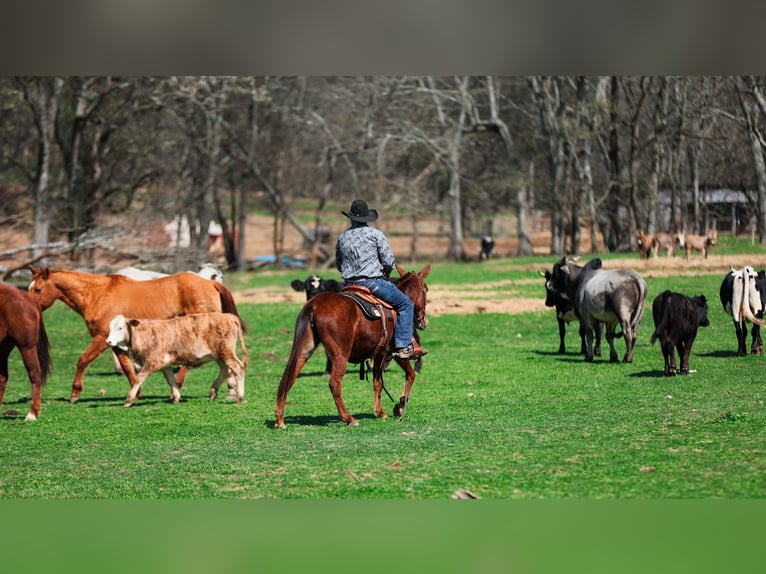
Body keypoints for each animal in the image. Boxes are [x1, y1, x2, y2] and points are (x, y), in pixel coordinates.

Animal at [27, 266, 243, 405]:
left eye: (38, 289)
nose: (29, 308)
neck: (97, 294)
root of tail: (210, 282)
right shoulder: (114, 342)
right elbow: (127, 367)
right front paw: (136, 392)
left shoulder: (101, 339)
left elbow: (83, 361)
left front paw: (75, 393)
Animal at [274, 263, 431, 428]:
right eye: (426, 289)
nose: (423, 321)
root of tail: (313, 305)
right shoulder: (394, 352)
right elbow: (410, 375)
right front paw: (400, 405)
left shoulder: (379, 354)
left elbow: (377, 382)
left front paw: (380, 412)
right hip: (340, 354)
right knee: (334, 384)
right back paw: (348, 418)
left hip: (304, 349)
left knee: (289, 377)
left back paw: (279, 419)